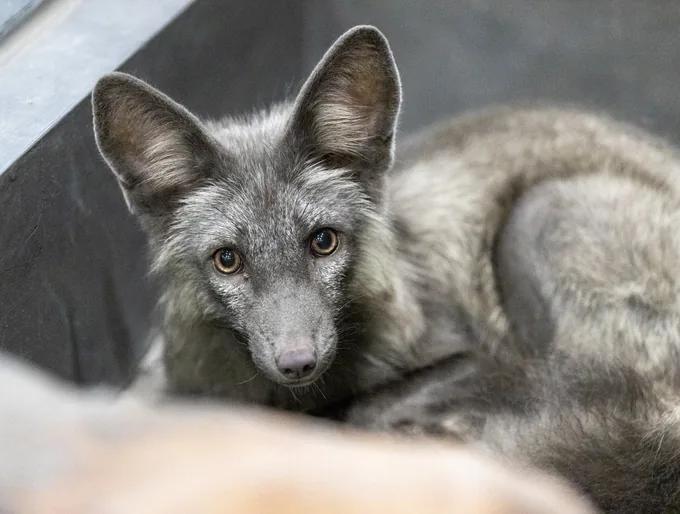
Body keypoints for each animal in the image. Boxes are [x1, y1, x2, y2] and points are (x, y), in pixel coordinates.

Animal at [93, 26, 680, 512]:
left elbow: (357, 416)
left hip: (538, 222)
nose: (297, 362)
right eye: (228, 260)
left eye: (323, 241)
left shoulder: (475, 353)